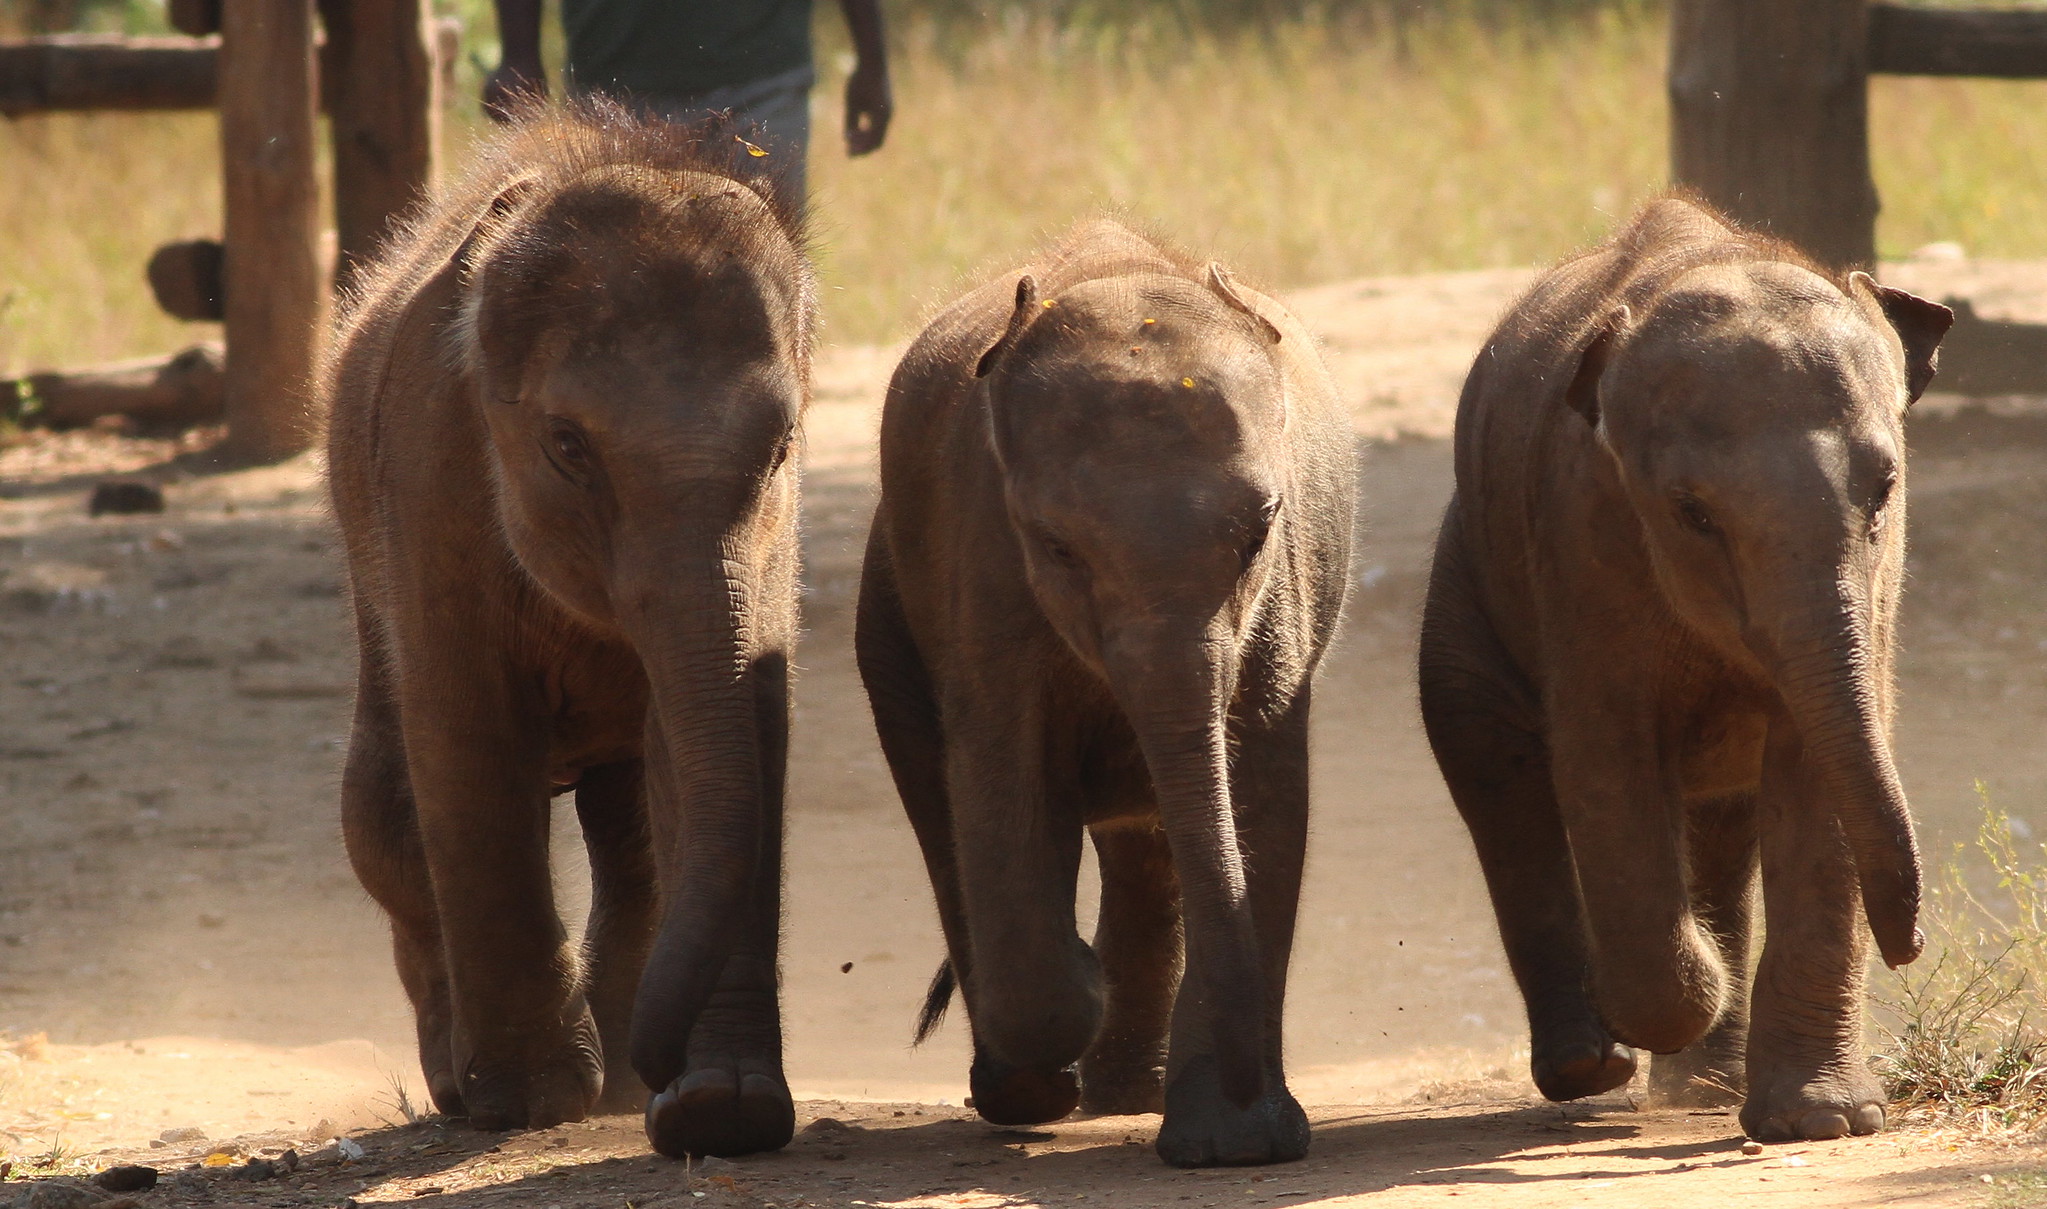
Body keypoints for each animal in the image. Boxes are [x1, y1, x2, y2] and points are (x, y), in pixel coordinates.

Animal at [323, 102, 811, 1159]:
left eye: (784, 446)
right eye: (566, 446)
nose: (665, 1066)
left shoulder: (772, 543)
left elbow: (726, 737)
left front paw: (721, 1108)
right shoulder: (433, 478)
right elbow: (468, 741)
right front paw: (532, 1101)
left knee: (625, 824)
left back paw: (620, 1079)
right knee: (382, 813)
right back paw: (465, 1081)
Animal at [855, 220, 1357, 1167]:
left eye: (1259, 530)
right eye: (1057, 547)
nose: (1252, 1094)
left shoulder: (1283, 595)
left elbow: (1262, 787)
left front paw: (1233, 1145)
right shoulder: (985, 567)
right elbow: (1000, 771)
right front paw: (1073, 1006)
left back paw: (1124, 1089)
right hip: (891, 618)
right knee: (943, 811)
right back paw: (1035, 1085)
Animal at [1416, 198, 1952, 1142]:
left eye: (1884, 488)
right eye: (1690, 513)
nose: (1911, 946)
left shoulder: (1874, 586)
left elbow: (1817, 775)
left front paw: (1819, 1121)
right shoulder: (1582, 538)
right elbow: (1608, 764)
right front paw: (1652, 997)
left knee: (1719, 819)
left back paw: (1703, 1083)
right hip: (1465, 591)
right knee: (1497, 772)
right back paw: (1593, 1062)